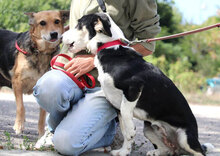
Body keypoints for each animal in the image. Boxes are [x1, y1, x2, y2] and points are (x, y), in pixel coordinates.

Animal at [62, 12, 208, 155]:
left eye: (79, 24)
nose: (61, 36)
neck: (109, 48)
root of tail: (178, 148)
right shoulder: (117, 104)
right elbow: (126, 132)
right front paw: (123, 152)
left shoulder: (133, 89)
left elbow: (128, 124)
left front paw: (128, 141)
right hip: (149, 130)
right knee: (168, 150)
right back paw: (156, 152)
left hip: (185, 138)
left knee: (200, 152)